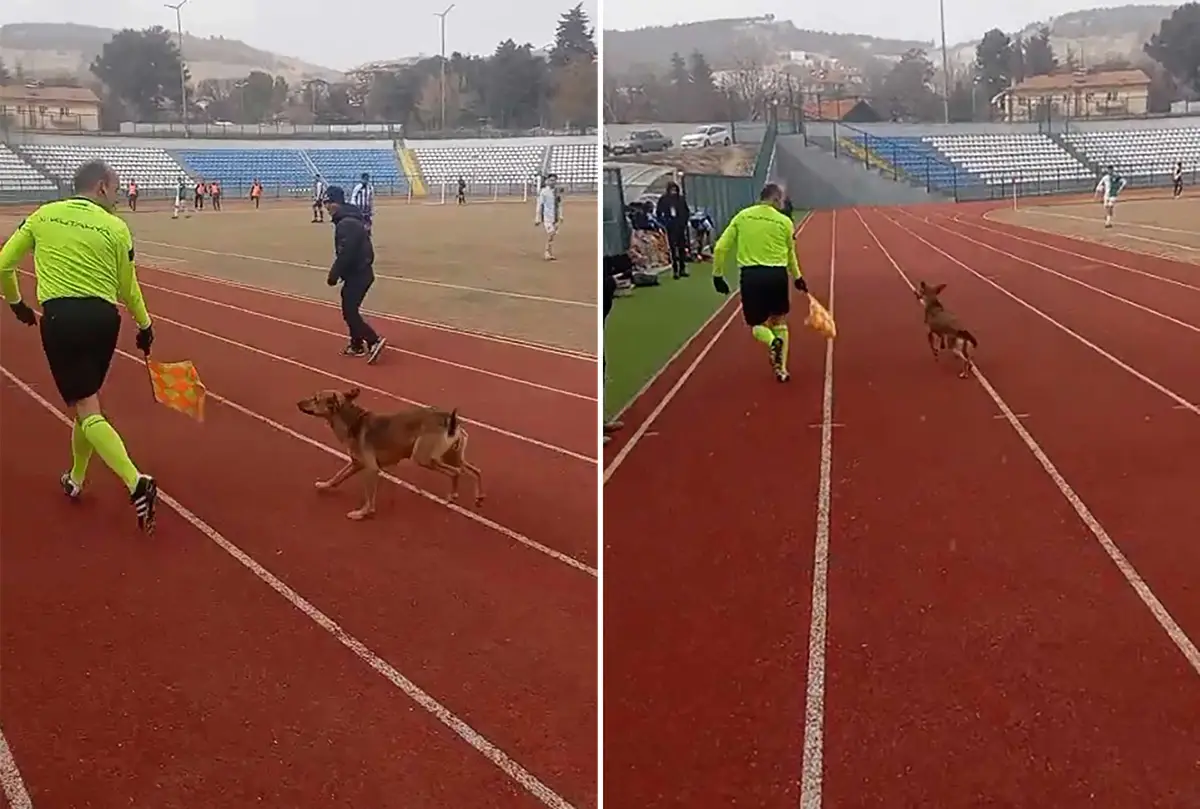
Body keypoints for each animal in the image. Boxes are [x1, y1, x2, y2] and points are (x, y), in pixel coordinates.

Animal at [295, 386, 482, 520]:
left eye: (315, 399)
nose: (298, 403)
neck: (353, 421)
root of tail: (449, 418)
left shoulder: (371, 469)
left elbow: (369, 497)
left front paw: (363, 513)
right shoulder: (355, 463)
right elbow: (337, 477)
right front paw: (324, 485)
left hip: (424, 458)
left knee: (455, 473)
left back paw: (453, 496)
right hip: (451, 456)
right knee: (475, 471)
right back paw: (479, 497)